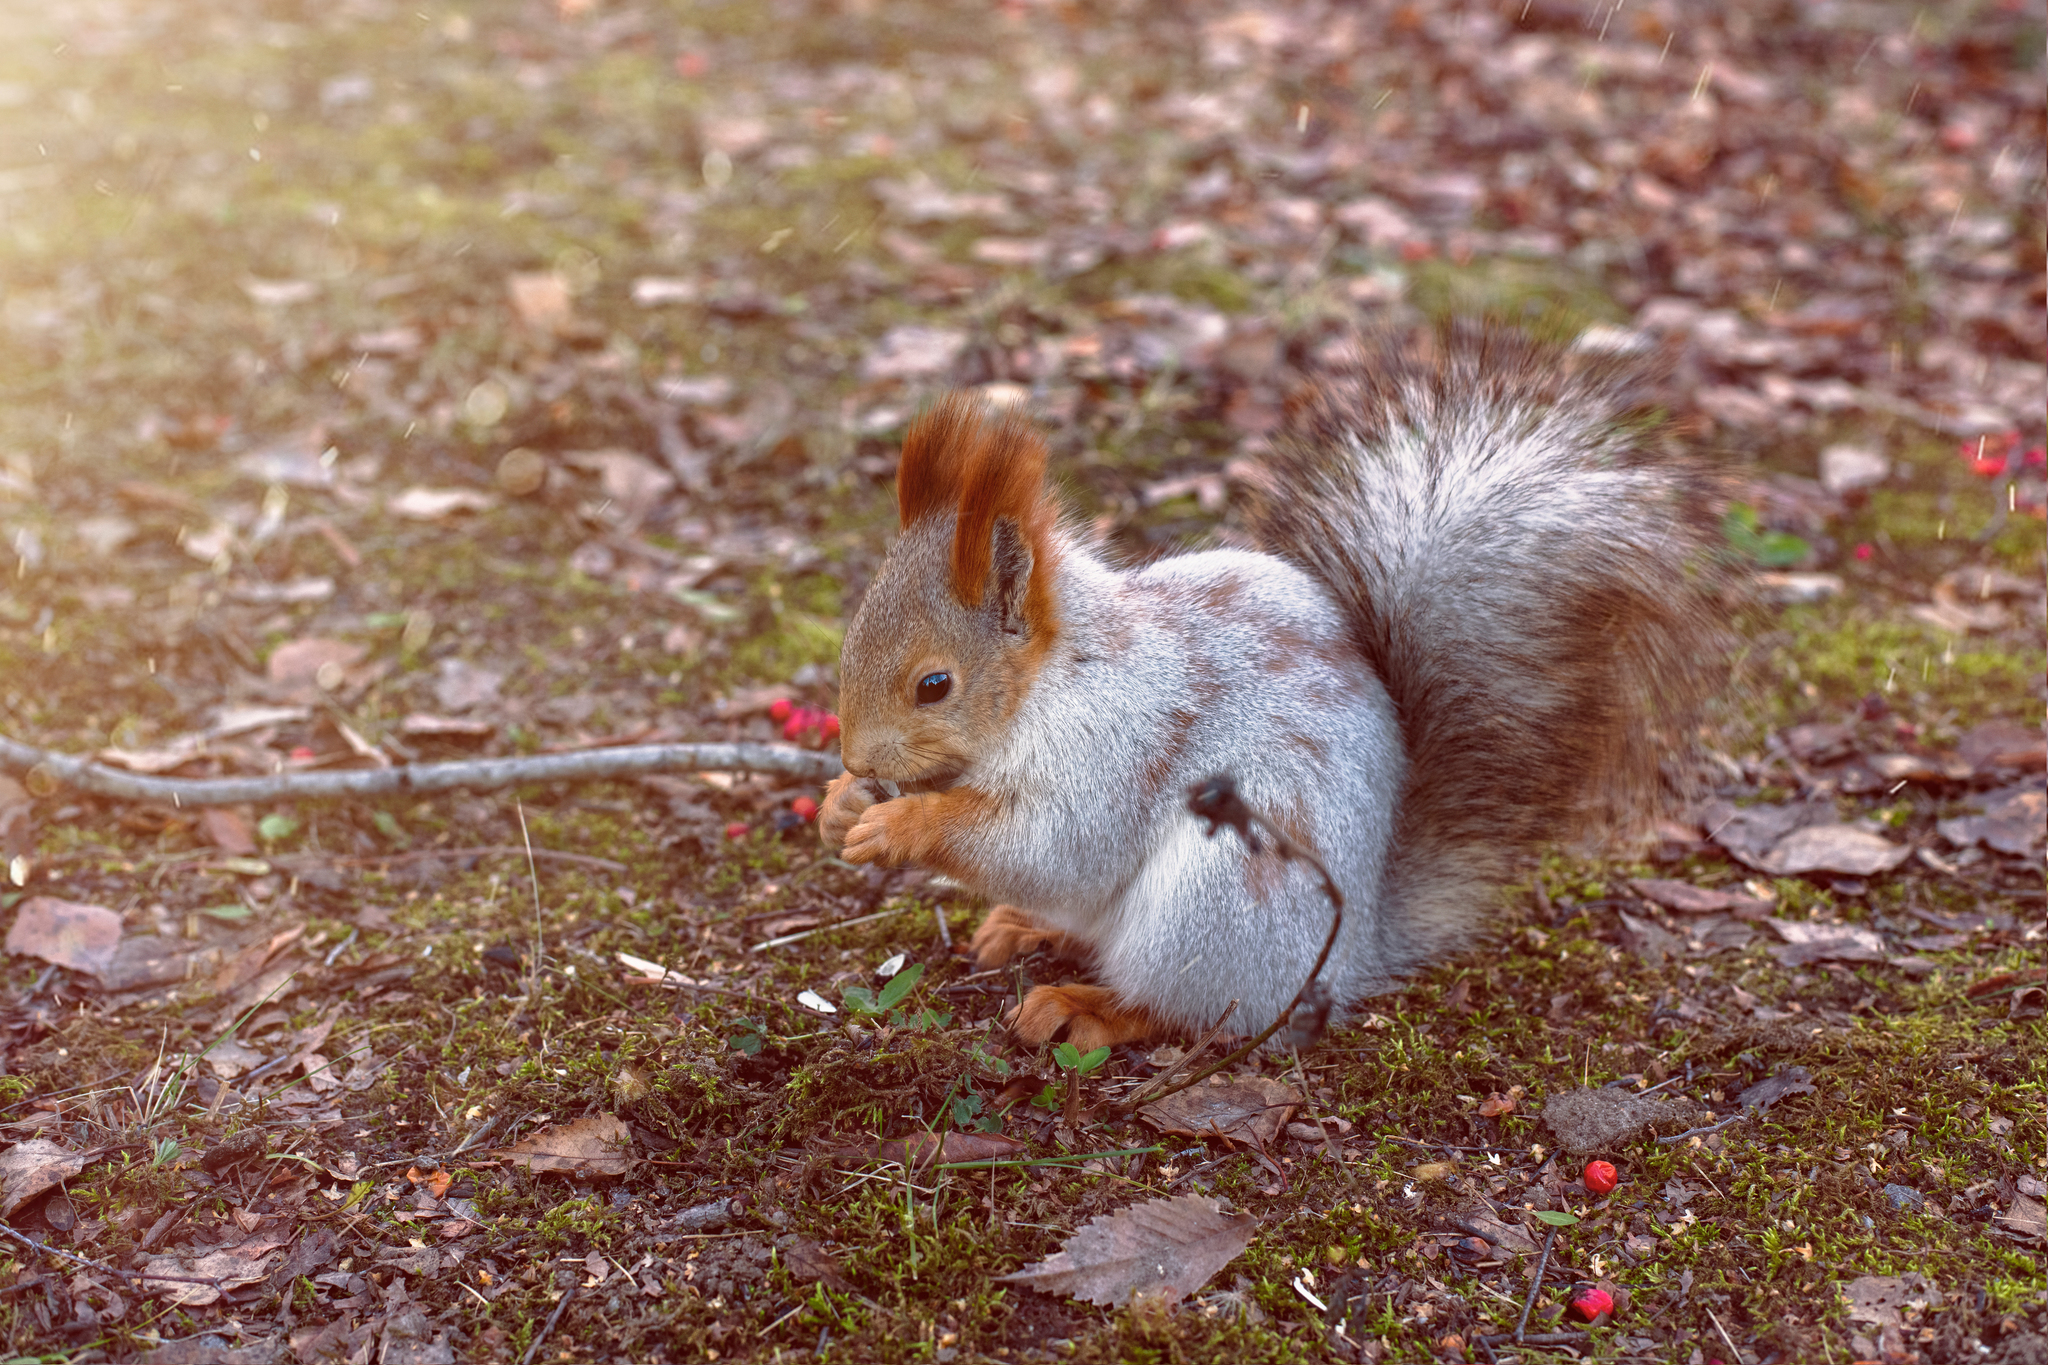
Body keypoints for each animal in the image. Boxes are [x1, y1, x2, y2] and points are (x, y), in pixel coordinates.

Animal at [815, 325, 1728, 1055]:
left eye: (935, 683)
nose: (856, 758)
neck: (1054, 679)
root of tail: (1354, 951)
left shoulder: (1120, 742)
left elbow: (1055, 845)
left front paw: (901, 823)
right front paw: (836, 805)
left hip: (1219, 901)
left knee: (1206, 1013)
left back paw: (1092, 1007)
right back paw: (1023, 925)